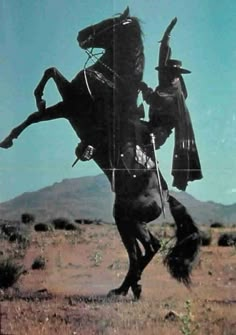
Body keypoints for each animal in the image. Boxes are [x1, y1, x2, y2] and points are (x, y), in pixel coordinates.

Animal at [0, 7, 201, 300]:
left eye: (112, 23)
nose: (81, 34)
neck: (110, 81)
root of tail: (165, 194)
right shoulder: (66, 107)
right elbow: (36, 114)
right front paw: (9, 138)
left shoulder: (72, 102)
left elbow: (50, 73)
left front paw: (35, 102)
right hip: (124, 220)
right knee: (140, 251)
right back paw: (127, 287)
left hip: (128, 218)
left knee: (149, 247)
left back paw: (129, 286)